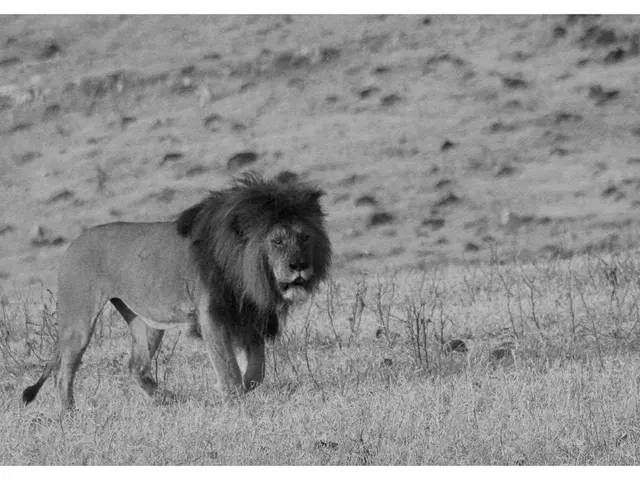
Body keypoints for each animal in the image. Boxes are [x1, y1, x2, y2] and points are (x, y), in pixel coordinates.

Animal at [22, 172, 331, 412]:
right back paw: (69, 415)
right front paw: (233, 398)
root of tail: (74, 242)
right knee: (64, 373)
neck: (249, 272)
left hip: (146, 322)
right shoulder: (212, 314)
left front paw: (240, 389)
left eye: (305, 237)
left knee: (136, 366)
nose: (299, 266)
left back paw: (166, 399)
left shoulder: (249, 315)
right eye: (277, 241)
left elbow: (257, 371)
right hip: (79, 319)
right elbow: (227, 365)